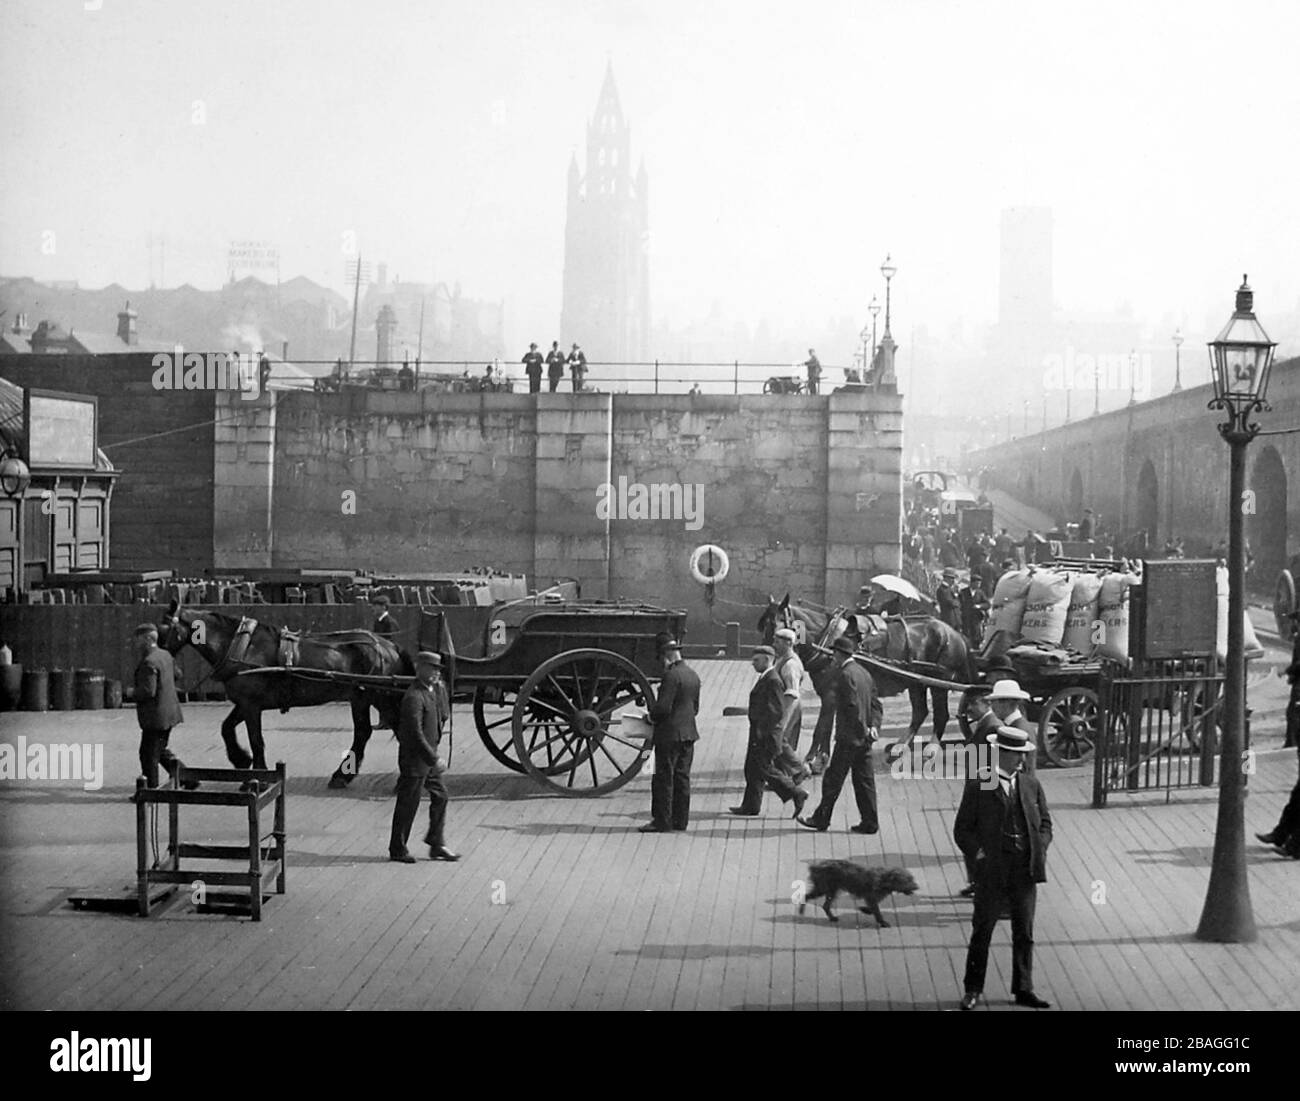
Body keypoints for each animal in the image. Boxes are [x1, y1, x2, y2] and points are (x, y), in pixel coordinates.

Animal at [160, 603, 410, 790]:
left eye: (162, 628)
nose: (174, 671)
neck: (243, 646)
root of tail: (388, 645)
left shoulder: (251, 705)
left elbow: (256, 740)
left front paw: (257, 777)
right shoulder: (245, 703)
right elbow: (227, 728)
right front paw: (241, 759)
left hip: (380, 697)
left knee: (397, 729)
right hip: (361, 699)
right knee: (364, 732)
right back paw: (342, 776)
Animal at [759, 595, 972, 759]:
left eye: (775, 625)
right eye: (762, 627)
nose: (766, 654)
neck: (827, 640)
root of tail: (955, 633)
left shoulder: (830, 693)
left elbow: (821, 728)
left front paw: (812, 759)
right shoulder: (830, 694)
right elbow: (826, 727)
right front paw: (820, 758)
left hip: (939, 681)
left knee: (941, 714)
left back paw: (932, 747)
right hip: (916, 682)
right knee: (920, 712)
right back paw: (900, 746)